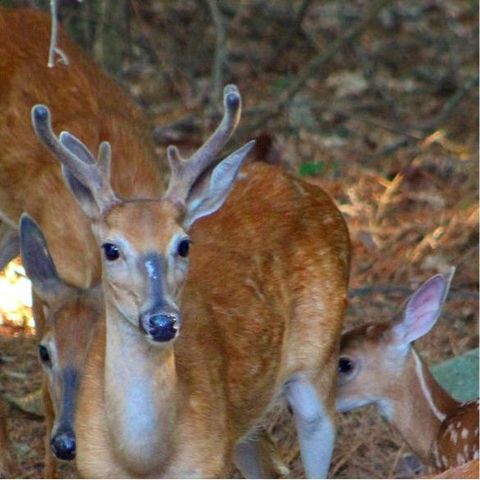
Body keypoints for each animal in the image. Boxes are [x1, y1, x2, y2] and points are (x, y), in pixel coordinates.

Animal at [31, 82, 350, 476]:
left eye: (183, 244)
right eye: (111, 248)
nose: (162, 321)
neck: (143, 459)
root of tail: (317, 193)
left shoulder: (207, 463)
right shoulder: (93, 467)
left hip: (318, 365)